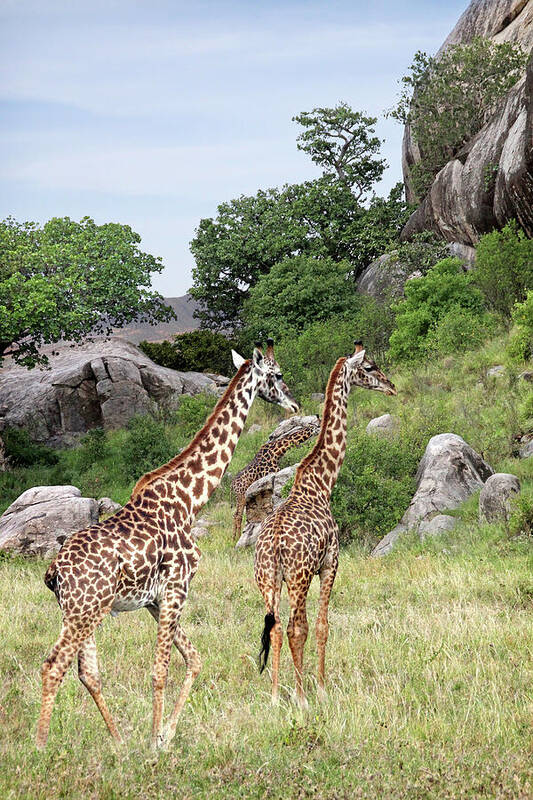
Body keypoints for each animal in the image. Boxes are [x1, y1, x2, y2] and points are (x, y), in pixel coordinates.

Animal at [35, 338, 298, 752]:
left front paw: (164, 734)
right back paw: (43, 748)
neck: (190, 499)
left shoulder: (155, 600)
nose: (295, 405)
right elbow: (161, 669)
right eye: (278, 375)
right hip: (83, 611)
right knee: (54, 666)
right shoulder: (176, 587)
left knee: (87, 672)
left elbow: (193, 660)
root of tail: (54, 571)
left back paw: (118, 742)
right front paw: (155, 744)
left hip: (83, 612)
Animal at [254, 342, 394, 708]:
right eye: (370, 367)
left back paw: (275, 696)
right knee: (295, 627)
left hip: (267, 580)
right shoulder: (331, 562)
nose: (391, 386)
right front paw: (320, 688)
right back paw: (301, 696)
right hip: (299, 577)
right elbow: (322, 626)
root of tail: (273, 546)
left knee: (275, 627)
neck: (321, 483)